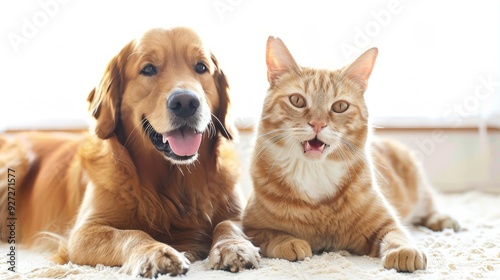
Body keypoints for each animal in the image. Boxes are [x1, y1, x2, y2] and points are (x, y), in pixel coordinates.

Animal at [0, 27, 258, 276]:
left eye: (201, 67)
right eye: (148, 69)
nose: (186, 102)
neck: (175, 181)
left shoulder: (239, 211)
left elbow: (228, 224)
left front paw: (233, 246)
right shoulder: (84, 232)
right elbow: (131, 233)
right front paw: (156, 251)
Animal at [242, 36, 460, 272]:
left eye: (340, 106)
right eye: (297, 100)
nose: (318, 124)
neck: (315, 172)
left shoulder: (385, 223)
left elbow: (397, 234)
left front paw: (404, 251)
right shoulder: (250, 227)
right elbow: (271, 235)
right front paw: (288, 242)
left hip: (418, 188)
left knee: (430, 205)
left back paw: (444, 221)